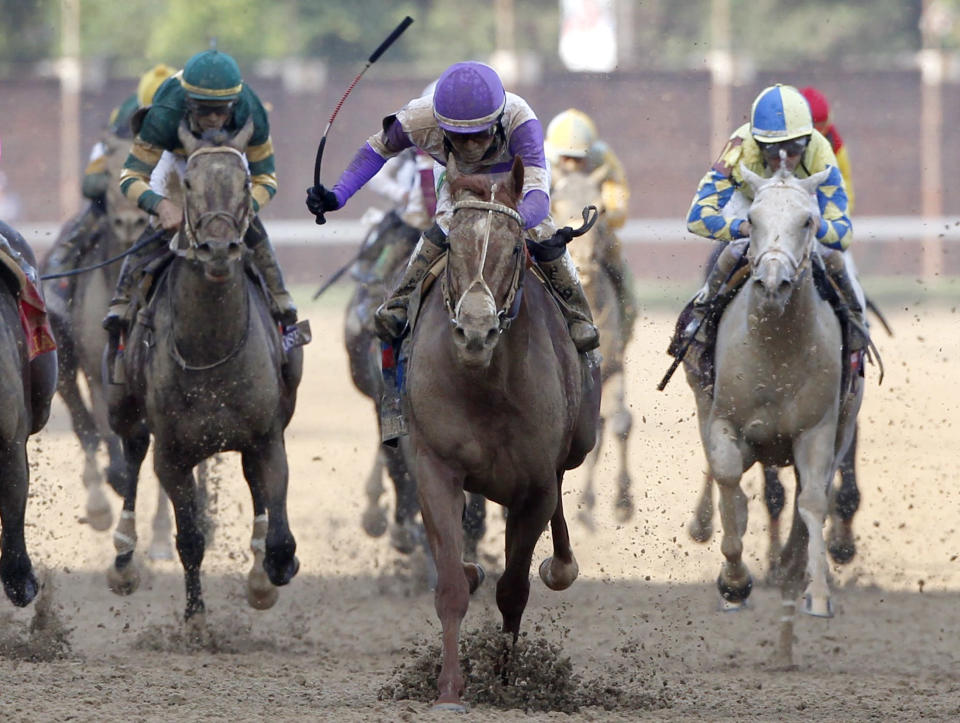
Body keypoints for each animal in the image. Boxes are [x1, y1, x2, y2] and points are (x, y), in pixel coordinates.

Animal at [105, 120, 302, 624]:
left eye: (243, 182)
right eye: (190, 184)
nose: (217, 248)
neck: (211, 348)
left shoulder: (267, 437)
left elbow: (278, 534)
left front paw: (270, 573)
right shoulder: (172, 454)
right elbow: (189, 538)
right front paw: (195, 619)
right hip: (124, 407)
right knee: (132, 452)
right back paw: (123, 559)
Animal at [404, 157, 600, 708]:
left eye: (514, 248)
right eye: (452, 244)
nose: (475, 331)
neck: (485, 383)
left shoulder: (533, 486)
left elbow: (513, 589)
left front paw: (507, 681)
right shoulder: (436, 466)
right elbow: (451, 584)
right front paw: (450, 688)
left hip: (578, 444)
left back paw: (561, 565)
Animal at [688, 163, 868, 668]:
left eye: (808, 220)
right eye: (751, 218)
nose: (772, 283)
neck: (776, 347)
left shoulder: (817, 433)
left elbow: (813, 504)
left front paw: (817, 595)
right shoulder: (725, 422)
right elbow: (729, 479)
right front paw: (734, 582)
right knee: (728, 483)